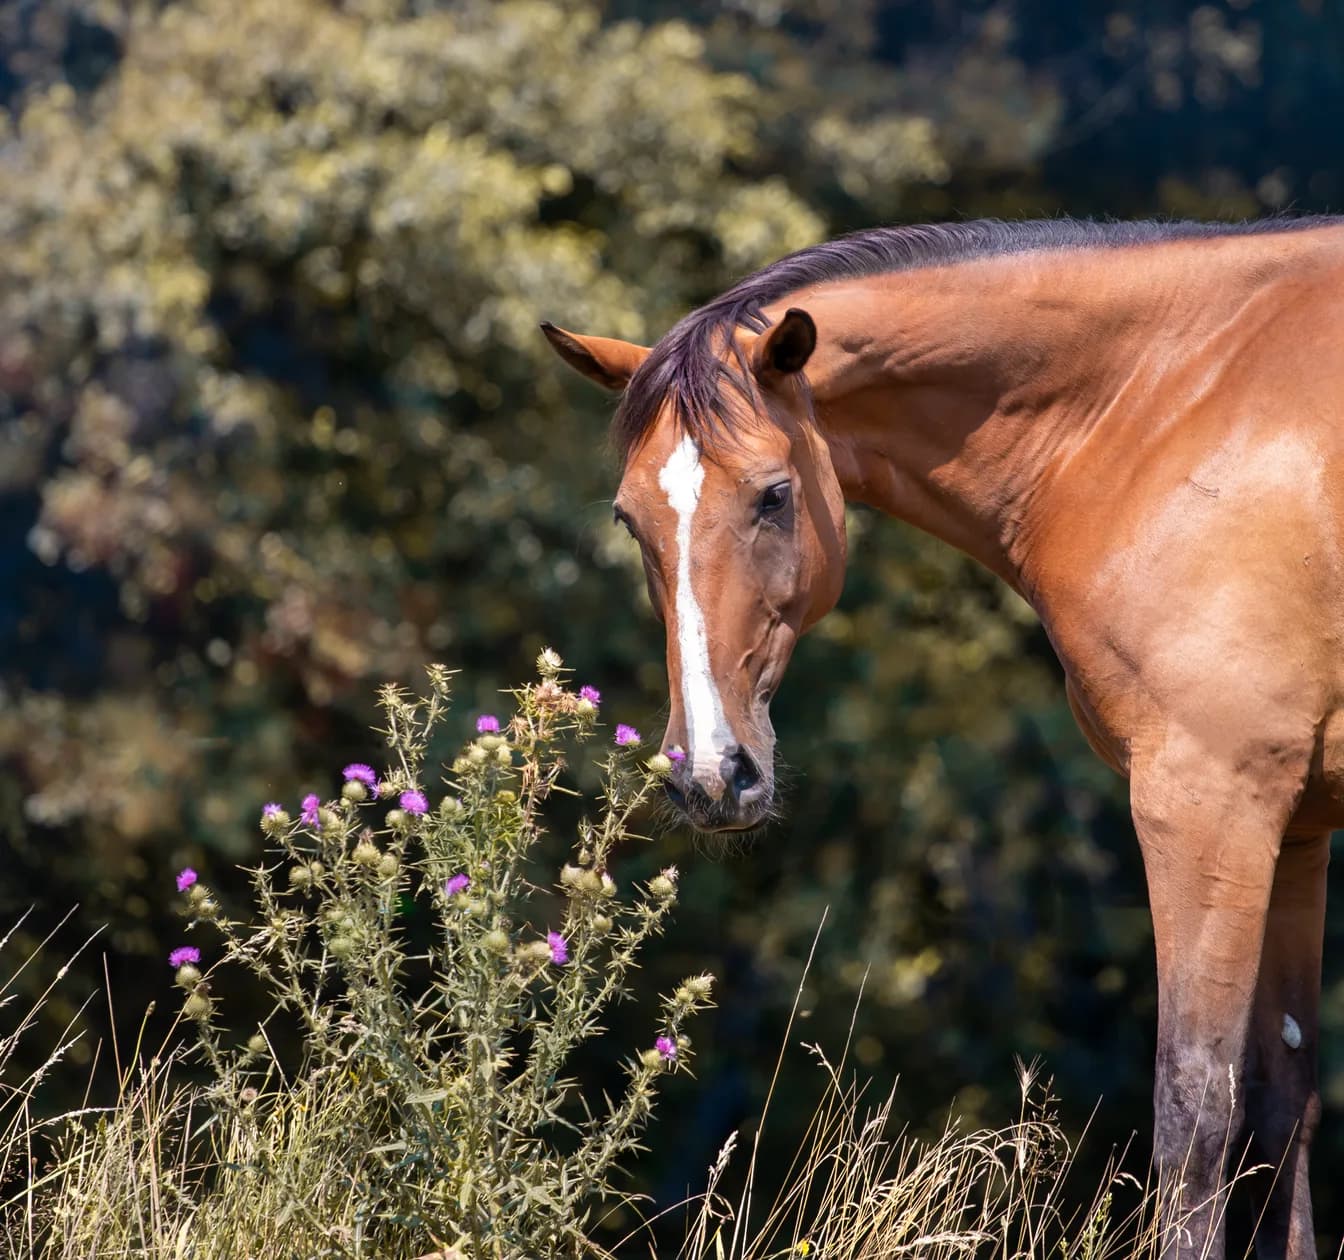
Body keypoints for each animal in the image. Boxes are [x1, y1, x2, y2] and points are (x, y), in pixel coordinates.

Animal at [542, 217, 1344, 1258]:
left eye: (772, 496)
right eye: (629, 518)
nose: (712, 776)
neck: (1171, 404)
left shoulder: (1209, 805)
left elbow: (1195, 1111)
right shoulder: (1295, 826)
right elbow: (1286, 1108)